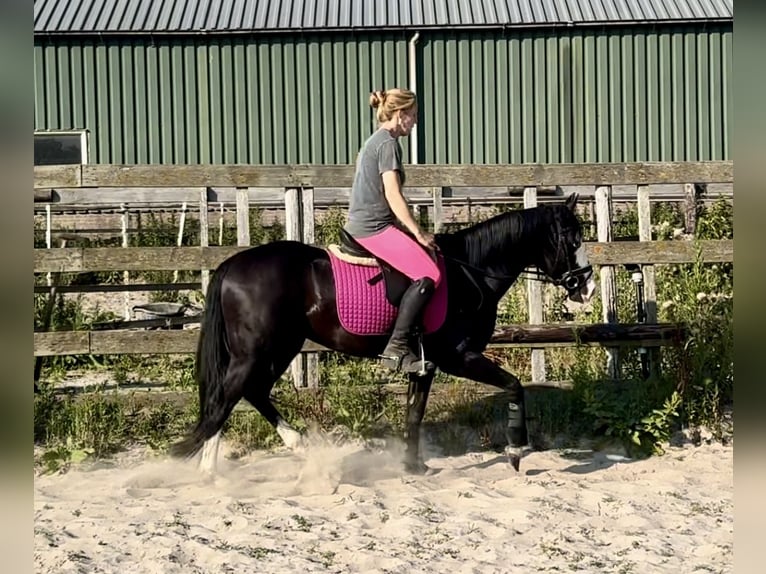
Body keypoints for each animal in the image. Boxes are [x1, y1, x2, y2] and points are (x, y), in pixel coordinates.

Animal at [170, 193, 596, 473]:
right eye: (573, 239)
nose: (588, 287)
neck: (470, 272)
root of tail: (232, 264)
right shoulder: (459, 357)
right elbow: (514, 386)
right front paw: (515, 451)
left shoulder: (425, 364)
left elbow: (414, 414)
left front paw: (413, 467)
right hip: (257, 351)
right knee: (225, 398)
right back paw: (211, 470)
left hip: (280, 347)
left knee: (249, 392)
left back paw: (292, 446)